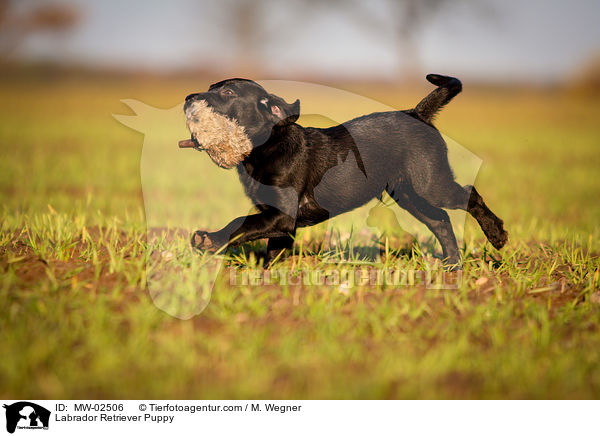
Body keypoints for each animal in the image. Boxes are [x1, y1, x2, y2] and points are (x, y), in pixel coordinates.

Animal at [183, 75, 506, 268]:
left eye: (227, 92)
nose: (188, 98)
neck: (265, 147)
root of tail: (417, 113)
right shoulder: (280, 221)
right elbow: (273, 249)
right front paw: (269, 278)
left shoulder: (281, 214)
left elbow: (241, 223)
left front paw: (209, 239)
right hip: (408, 194)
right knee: (440, 221)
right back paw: (452, 264)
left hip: (430, 184)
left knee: (469, 195)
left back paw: (497, 236)